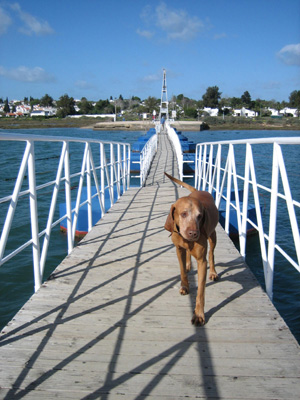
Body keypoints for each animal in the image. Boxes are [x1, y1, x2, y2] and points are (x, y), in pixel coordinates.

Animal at [164, 173, 218, 324]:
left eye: (200, 216)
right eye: (183, 214)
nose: (194, 233)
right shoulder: (179, 249)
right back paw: (188, 264)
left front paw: (199, 314)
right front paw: (184, 286)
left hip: (213, 236)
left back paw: (213, 272)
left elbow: (200, 292)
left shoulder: (201, 261)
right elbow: (182, 271)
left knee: (211, 254)